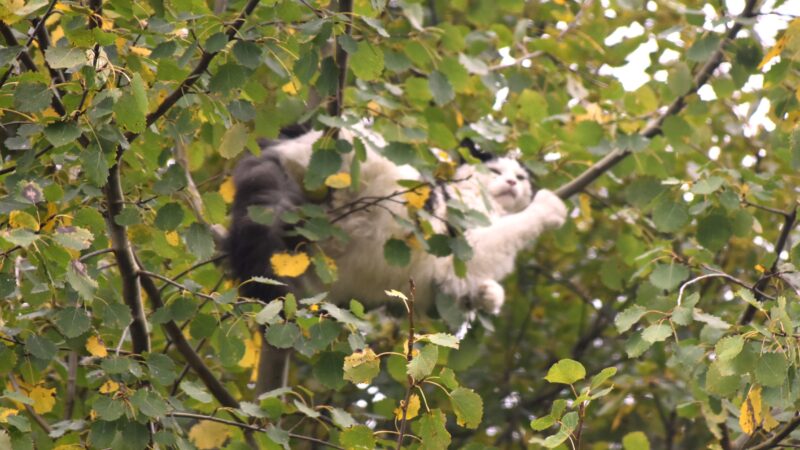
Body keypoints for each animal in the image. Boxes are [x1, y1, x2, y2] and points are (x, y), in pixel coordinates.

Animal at [225, 126, 568, 314]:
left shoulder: (447, 278)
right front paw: (550, 207)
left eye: (520, 177)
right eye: (496, 171)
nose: (511, 183)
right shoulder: (464, 244)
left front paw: (488, 295)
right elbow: (514, 228)